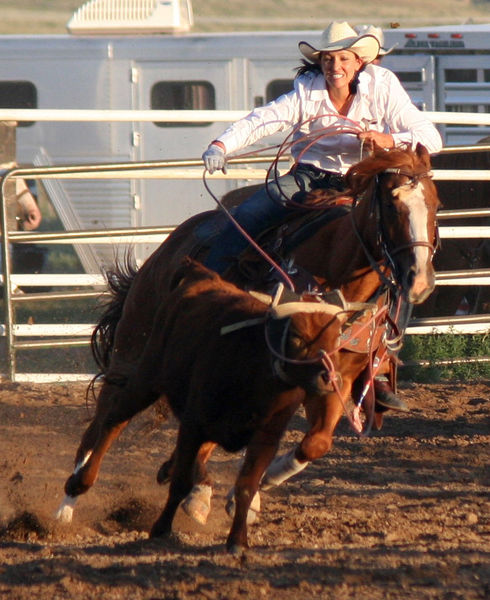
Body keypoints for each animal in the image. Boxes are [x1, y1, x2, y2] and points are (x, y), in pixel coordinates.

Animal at [56, 144, 440, 528]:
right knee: (107, 415)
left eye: (435, 204)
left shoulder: (335, 378)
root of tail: (173, 243)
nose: (419, 281)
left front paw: (258, 486)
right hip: (135, 347)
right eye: (391, 204)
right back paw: (70, 499)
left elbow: (316, 443)